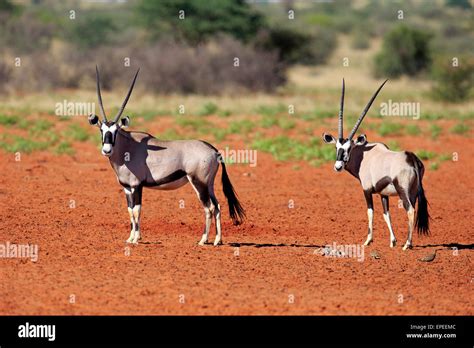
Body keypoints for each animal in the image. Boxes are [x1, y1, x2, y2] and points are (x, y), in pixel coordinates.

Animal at [88, 67, 244, 245]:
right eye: (102, 130)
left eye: (115, 131)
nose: (106, 150)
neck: (128, 148)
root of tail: (214, 150)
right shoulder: (127, 188)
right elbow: (130, 211)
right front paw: (130, 238)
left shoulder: (137, 185)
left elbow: (136, 210)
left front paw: (136, 239)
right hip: (209, 184)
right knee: (217, 206)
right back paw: (218, 240)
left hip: (198, 182)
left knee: (209, 208)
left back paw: (203, 240)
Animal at [322, 80, 430, 249]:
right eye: (337, 147)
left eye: (349, 148)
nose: (338, 166)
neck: (364, 156)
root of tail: (411, 158)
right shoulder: (383, 194)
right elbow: (387, 214)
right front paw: (392, 241)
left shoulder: (367, 190)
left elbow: (370, 212)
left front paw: (368, 240)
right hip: (413, 193)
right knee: (412, 210)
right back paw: (408, 243)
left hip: (403, 191)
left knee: (410, 210)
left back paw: (407, 244)